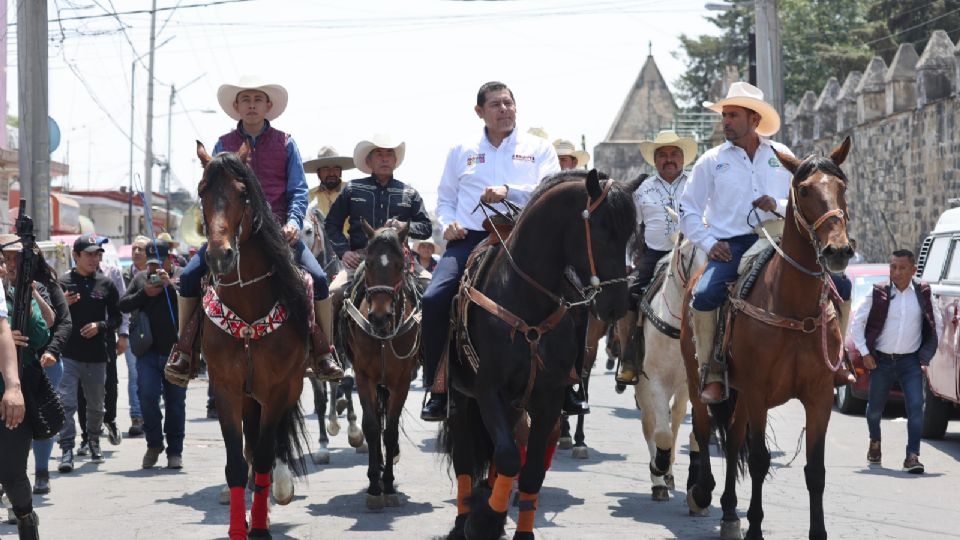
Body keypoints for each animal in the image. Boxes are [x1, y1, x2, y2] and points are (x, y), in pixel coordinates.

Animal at [197, 141, 310, 536]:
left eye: (242, 193)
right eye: (202, 191)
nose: (220, 255)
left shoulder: (277, 390)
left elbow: (263, 455)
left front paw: (259, 526)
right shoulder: (227, 389)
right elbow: (236, 459)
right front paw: (237, 528)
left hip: (286, 389)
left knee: (271, 445)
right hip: (248, 397)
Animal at [338, 219, 420, 510]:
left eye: (399, 265)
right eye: (370, 262)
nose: (380, 317)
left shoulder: (401, 380)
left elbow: (391, 430)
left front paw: (388, 484)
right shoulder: (365, 377)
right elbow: (373, 427)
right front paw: (375, 486)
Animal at [444, 170, 640, 540]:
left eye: (631, 234)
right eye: (602, 229)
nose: (617, 304)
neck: (524, 300)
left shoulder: (548, 396)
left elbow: (531, 469)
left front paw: (511, 525)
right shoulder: (487, 389)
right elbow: (509, 457)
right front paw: (483, 521)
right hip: (460, 399)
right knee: (464, 459)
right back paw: (462, 521)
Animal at [684, 136, 856, 540]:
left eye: (842, 187)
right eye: (805, 190)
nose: (838, 251)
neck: (794, 308)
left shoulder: (819, 395)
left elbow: (815, 471)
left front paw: (817, 532)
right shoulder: (758, 391)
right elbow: (761, 460)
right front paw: (756, 528)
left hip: (742, 394)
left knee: (733, 440)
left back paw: (730, 512)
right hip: (698, 378)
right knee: (704, 427)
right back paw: (703, 492)